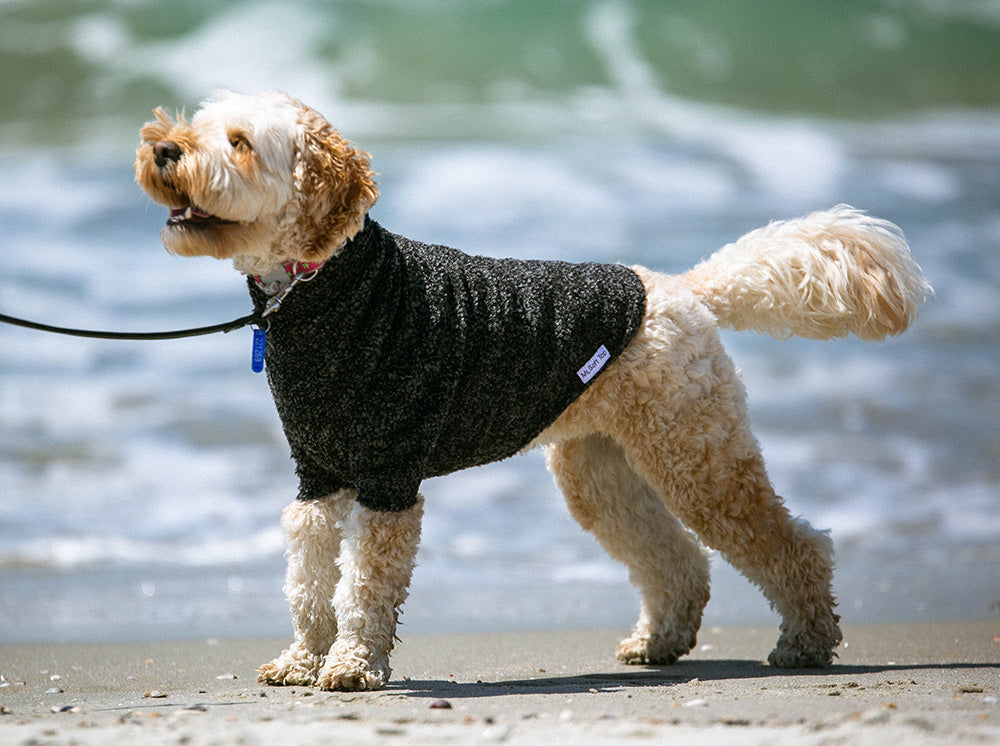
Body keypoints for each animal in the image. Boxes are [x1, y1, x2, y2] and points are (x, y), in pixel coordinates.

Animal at [133, 90, 928, 688]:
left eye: (239, 143)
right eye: (199, 123)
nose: (164, 148)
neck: (321, 285)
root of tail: (685, 291)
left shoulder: (389, 478)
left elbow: (363, 586)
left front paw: (352, 666)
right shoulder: (316, 478)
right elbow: (307, 580)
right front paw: (302, 659)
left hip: (698, 456)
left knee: (794, 545)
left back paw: (806, 643)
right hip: (600, 471)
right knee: (676, 558)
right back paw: (660, 642)